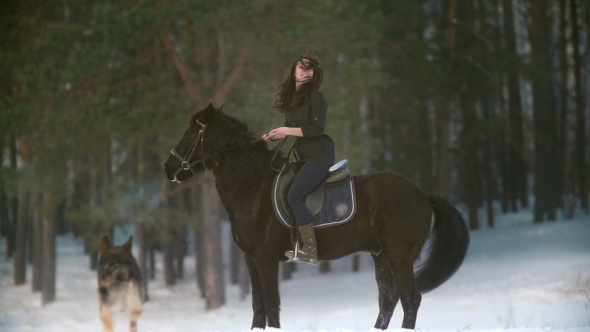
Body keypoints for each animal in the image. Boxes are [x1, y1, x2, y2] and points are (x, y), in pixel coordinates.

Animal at [164, 104, 470, 330]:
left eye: (190, 133)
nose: (168, 168)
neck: (252, 185)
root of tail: (423, 194)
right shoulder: (250, 260)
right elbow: (258, 308)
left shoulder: (265, 258)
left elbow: (271, 307)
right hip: (382, 256)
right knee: (388, 302)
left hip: (400, 256)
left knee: (410, 299)